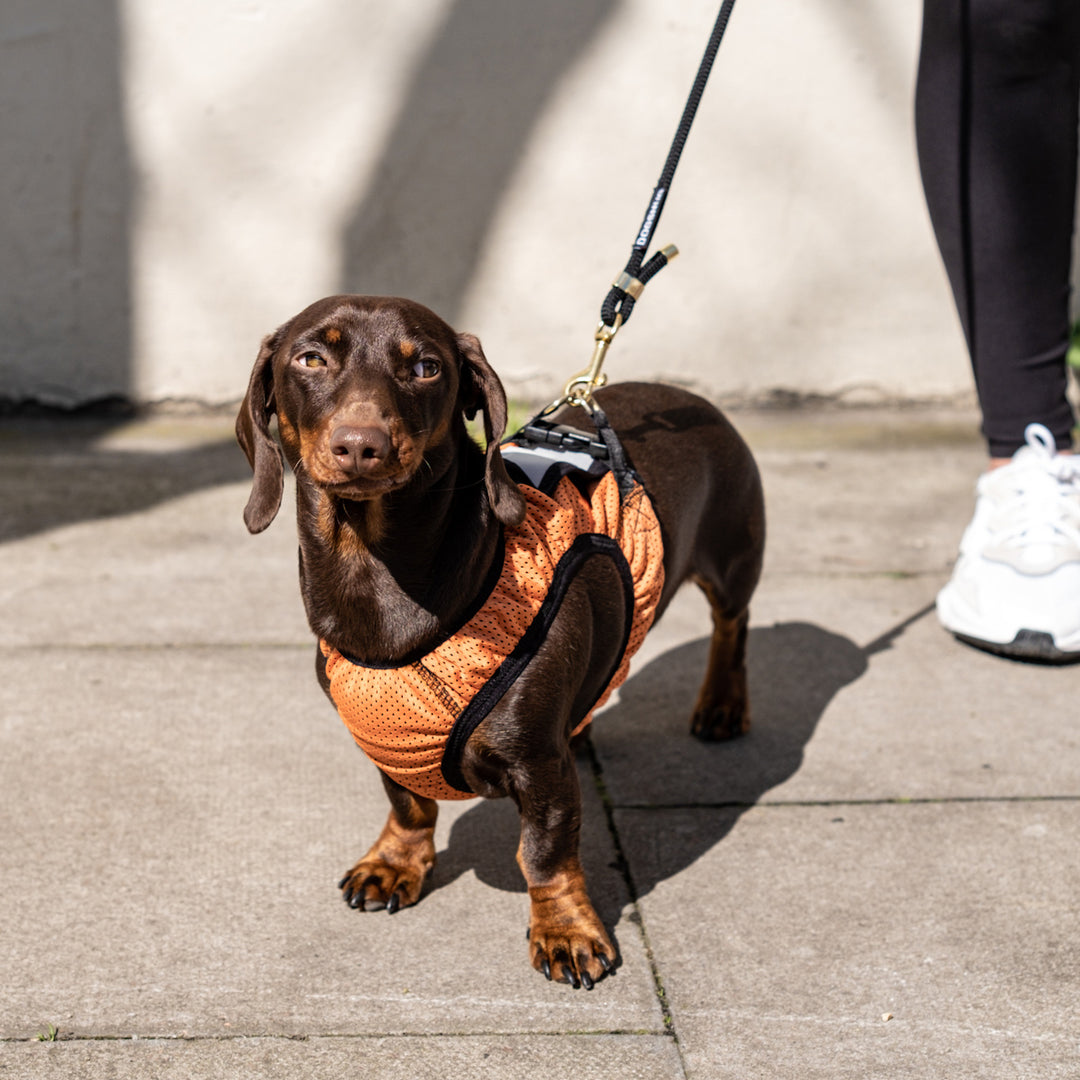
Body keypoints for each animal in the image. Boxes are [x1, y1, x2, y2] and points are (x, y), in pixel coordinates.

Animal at [235, 295, 764, 989]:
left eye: (427, 367)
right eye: (310, 358)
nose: (360, 446)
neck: (377, 577)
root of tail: (688, 397)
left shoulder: (538, 765)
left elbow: (544, 853)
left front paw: (566, 931)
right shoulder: (388, 743)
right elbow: (408, 807)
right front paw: (394, 865)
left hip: (732, 563)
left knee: (733, 625)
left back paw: (722, 704)